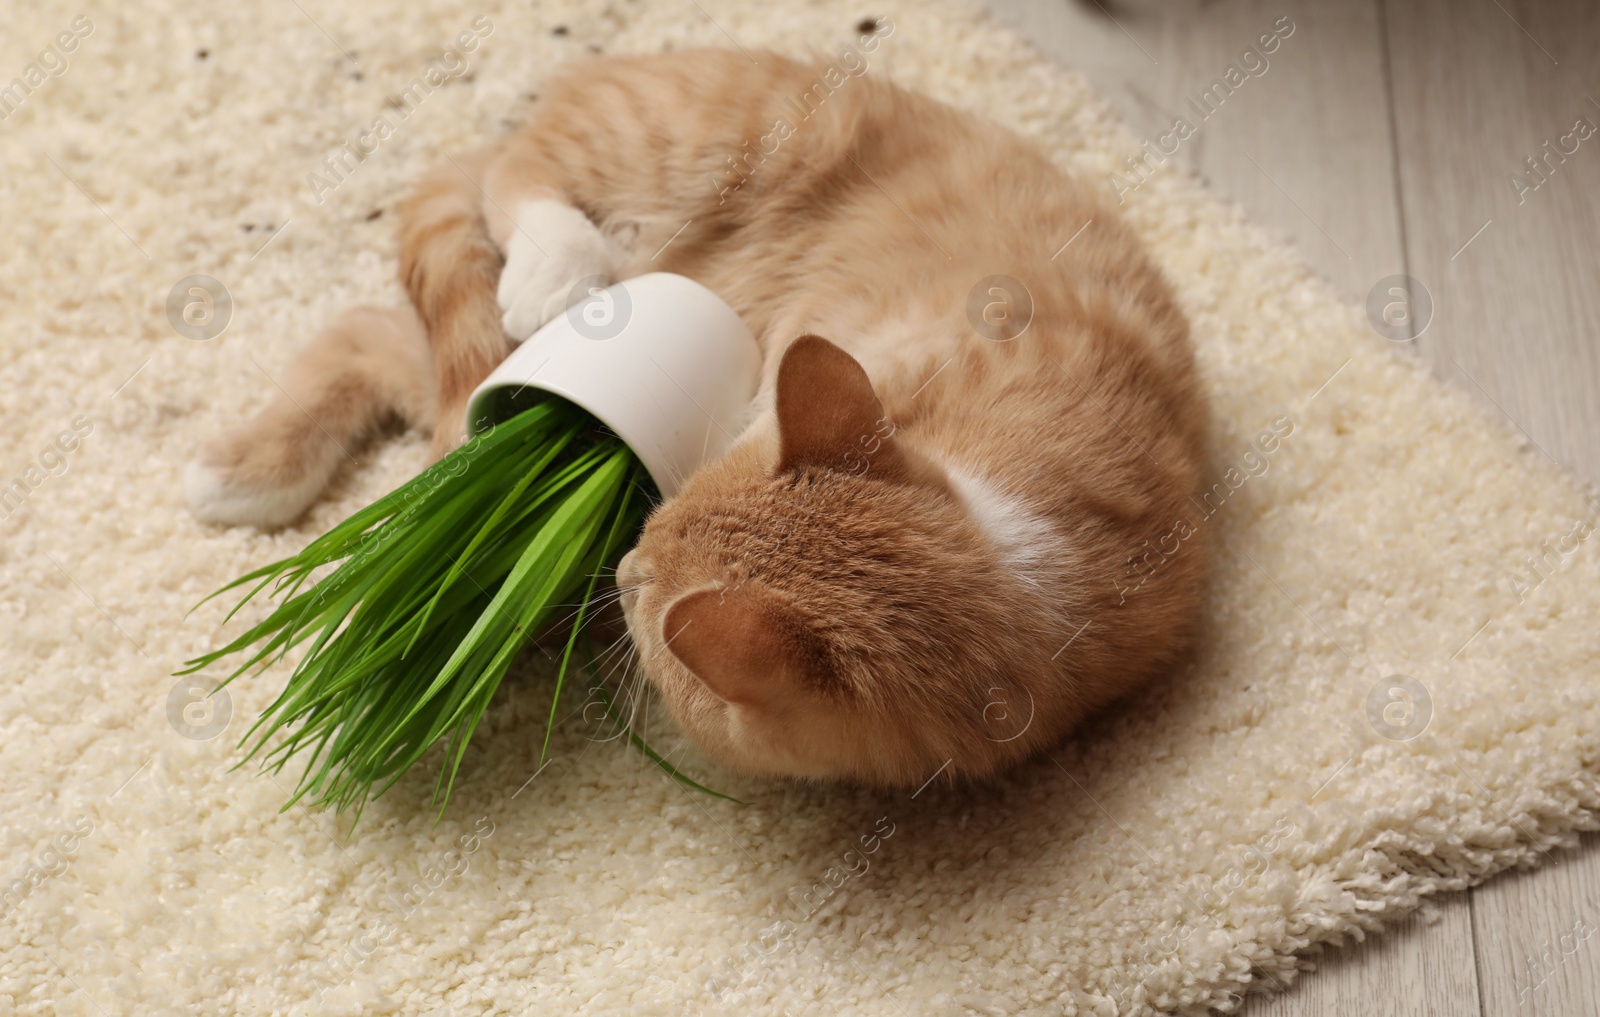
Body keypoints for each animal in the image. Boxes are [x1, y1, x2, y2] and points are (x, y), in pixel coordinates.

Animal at [187, 43, 1203, 789]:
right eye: (652, 531)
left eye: (644, 577)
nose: (625, 559)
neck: (1027, 547)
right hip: (699, 138)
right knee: (516, 178)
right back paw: (554, 268)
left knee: (382, 340)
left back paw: (247, 472)